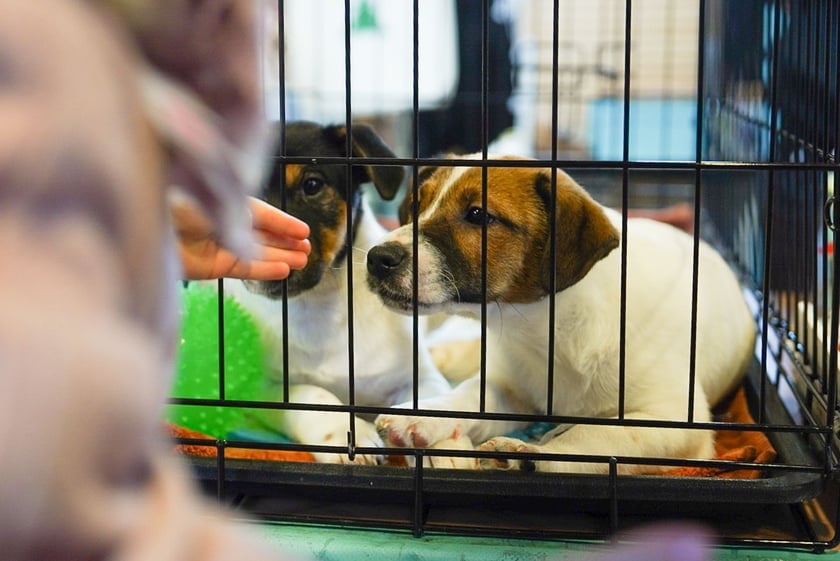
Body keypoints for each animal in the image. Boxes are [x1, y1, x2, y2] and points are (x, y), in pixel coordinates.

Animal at [223, 121, 454, 464]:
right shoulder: (259, 386)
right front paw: (346, 433)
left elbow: (428, 408)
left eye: (313, 185)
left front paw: (443, 448)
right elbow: (312, 395)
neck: (318, 302)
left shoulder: (421, 378)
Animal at [366, 155, 756, 474]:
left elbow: (593, 437)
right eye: (417, 205)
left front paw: (529, 456)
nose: (376, 258)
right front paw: (424, 417)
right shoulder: (510, 386)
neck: (547, 329)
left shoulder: (673, 421)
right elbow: (469, 394)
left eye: (478, 215)